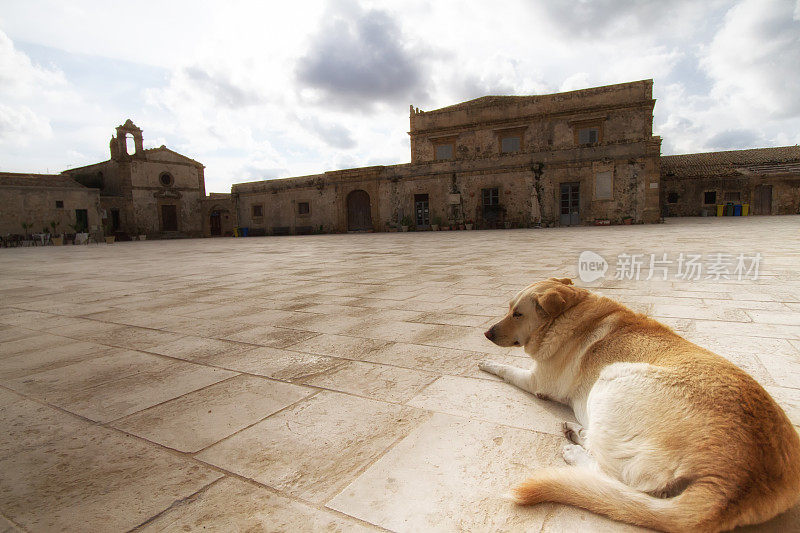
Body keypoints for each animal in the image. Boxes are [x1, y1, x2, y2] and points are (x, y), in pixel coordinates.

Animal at [478, 278, 800, 532]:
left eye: (518, 314)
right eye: (508, 309)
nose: (487, 333)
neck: (572, 310)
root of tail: (736, 482)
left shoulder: (537, 381)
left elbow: (505, 368)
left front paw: (484, 363)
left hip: (612, 378)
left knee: (614, 474)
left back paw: (575, 447)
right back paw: (577, 434)